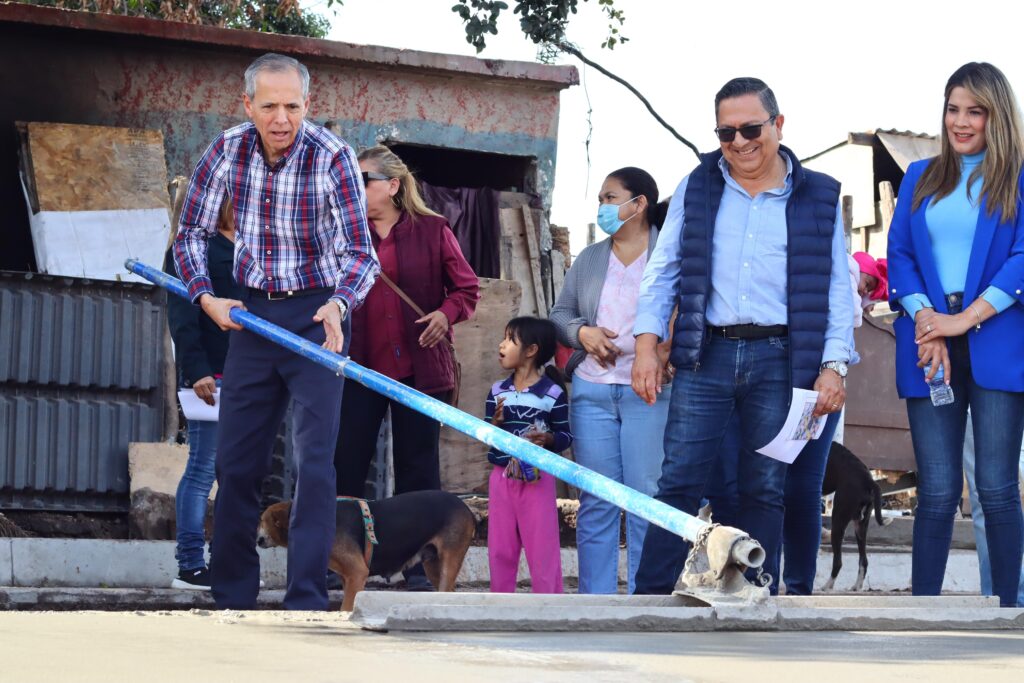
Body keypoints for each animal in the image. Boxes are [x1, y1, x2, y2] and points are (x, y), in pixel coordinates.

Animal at [258, 491, 477, 610]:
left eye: (261, 520)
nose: (257, 539)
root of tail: (466, 507)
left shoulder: (357, 572)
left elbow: (347, 606)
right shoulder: (348, 577)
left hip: (449, 560)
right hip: (432, 564)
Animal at [819, 440, 884, 589]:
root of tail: (868, 479)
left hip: (838, 521)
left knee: (838, 562)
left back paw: (827, 586)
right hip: (860, 525)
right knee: (863, 561)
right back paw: (857, 586)